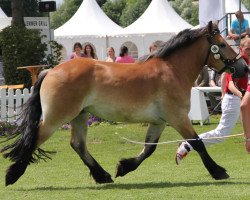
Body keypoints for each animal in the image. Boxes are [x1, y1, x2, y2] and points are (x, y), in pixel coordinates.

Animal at [0, 21, 249, 185]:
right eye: (223, 45)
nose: (243, 68)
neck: (172, 70)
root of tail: (51, 71)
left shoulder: (159, 121)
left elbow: (148, 149)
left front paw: (123, 167)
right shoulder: (178, 117)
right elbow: (197, 143)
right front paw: (219, 171)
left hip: (80, 116)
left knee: (78, 144)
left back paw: (103, 176)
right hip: (56, 118)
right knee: (35, 139)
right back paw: (12, 175)